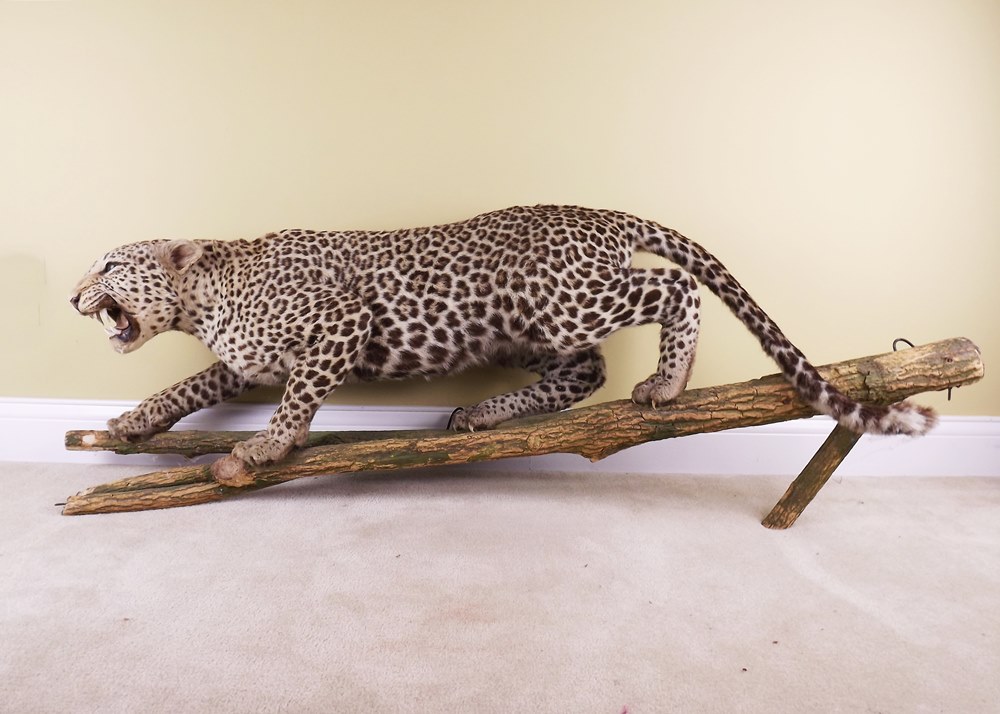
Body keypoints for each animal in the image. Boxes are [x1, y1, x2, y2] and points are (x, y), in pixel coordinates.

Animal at [70, 204, 936, 466]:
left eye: (110, 262)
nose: (76, 296)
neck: (204, 296)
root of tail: (603, 215)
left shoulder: (340, 326)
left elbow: (298, 400)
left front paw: (266, 447)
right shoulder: (244, 363)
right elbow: (185, 384)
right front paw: (133, 423)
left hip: (568, 301)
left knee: (673, 288)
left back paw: (669, 380)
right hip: (530, 330)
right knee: (584, 372)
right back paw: (484, 415)